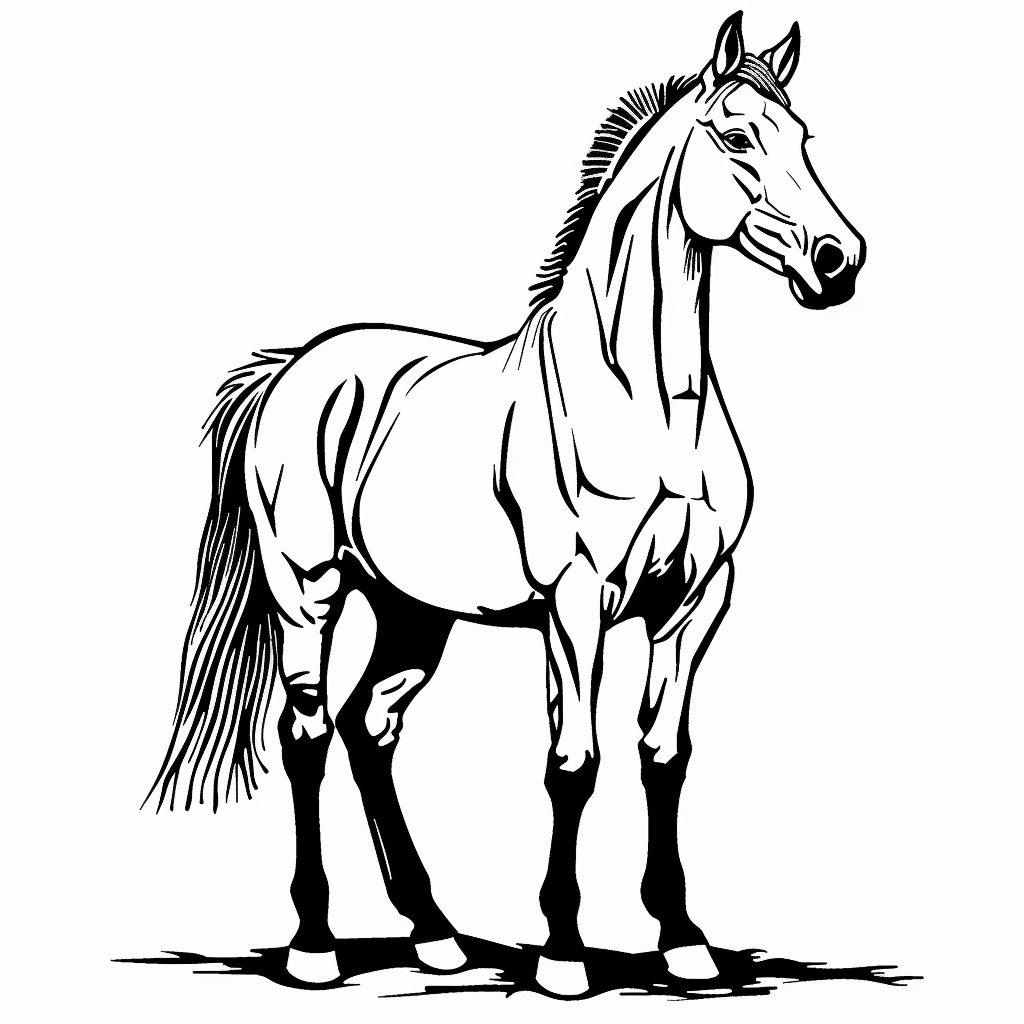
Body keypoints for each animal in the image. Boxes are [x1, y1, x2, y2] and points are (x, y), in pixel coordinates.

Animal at [147, 12, 864, 997]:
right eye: (736, 137)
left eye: (804, 138)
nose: (841, 262)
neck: (646, 403)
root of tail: (295, 368)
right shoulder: (576, 602)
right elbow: (574, 765)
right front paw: (563, 954)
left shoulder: (696, 603)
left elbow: (664, 758)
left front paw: (685, 942)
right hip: (311, 591)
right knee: (307, 735)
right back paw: (315, 945)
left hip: (413, 612)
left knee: (370, 727)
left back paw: (436, 934)